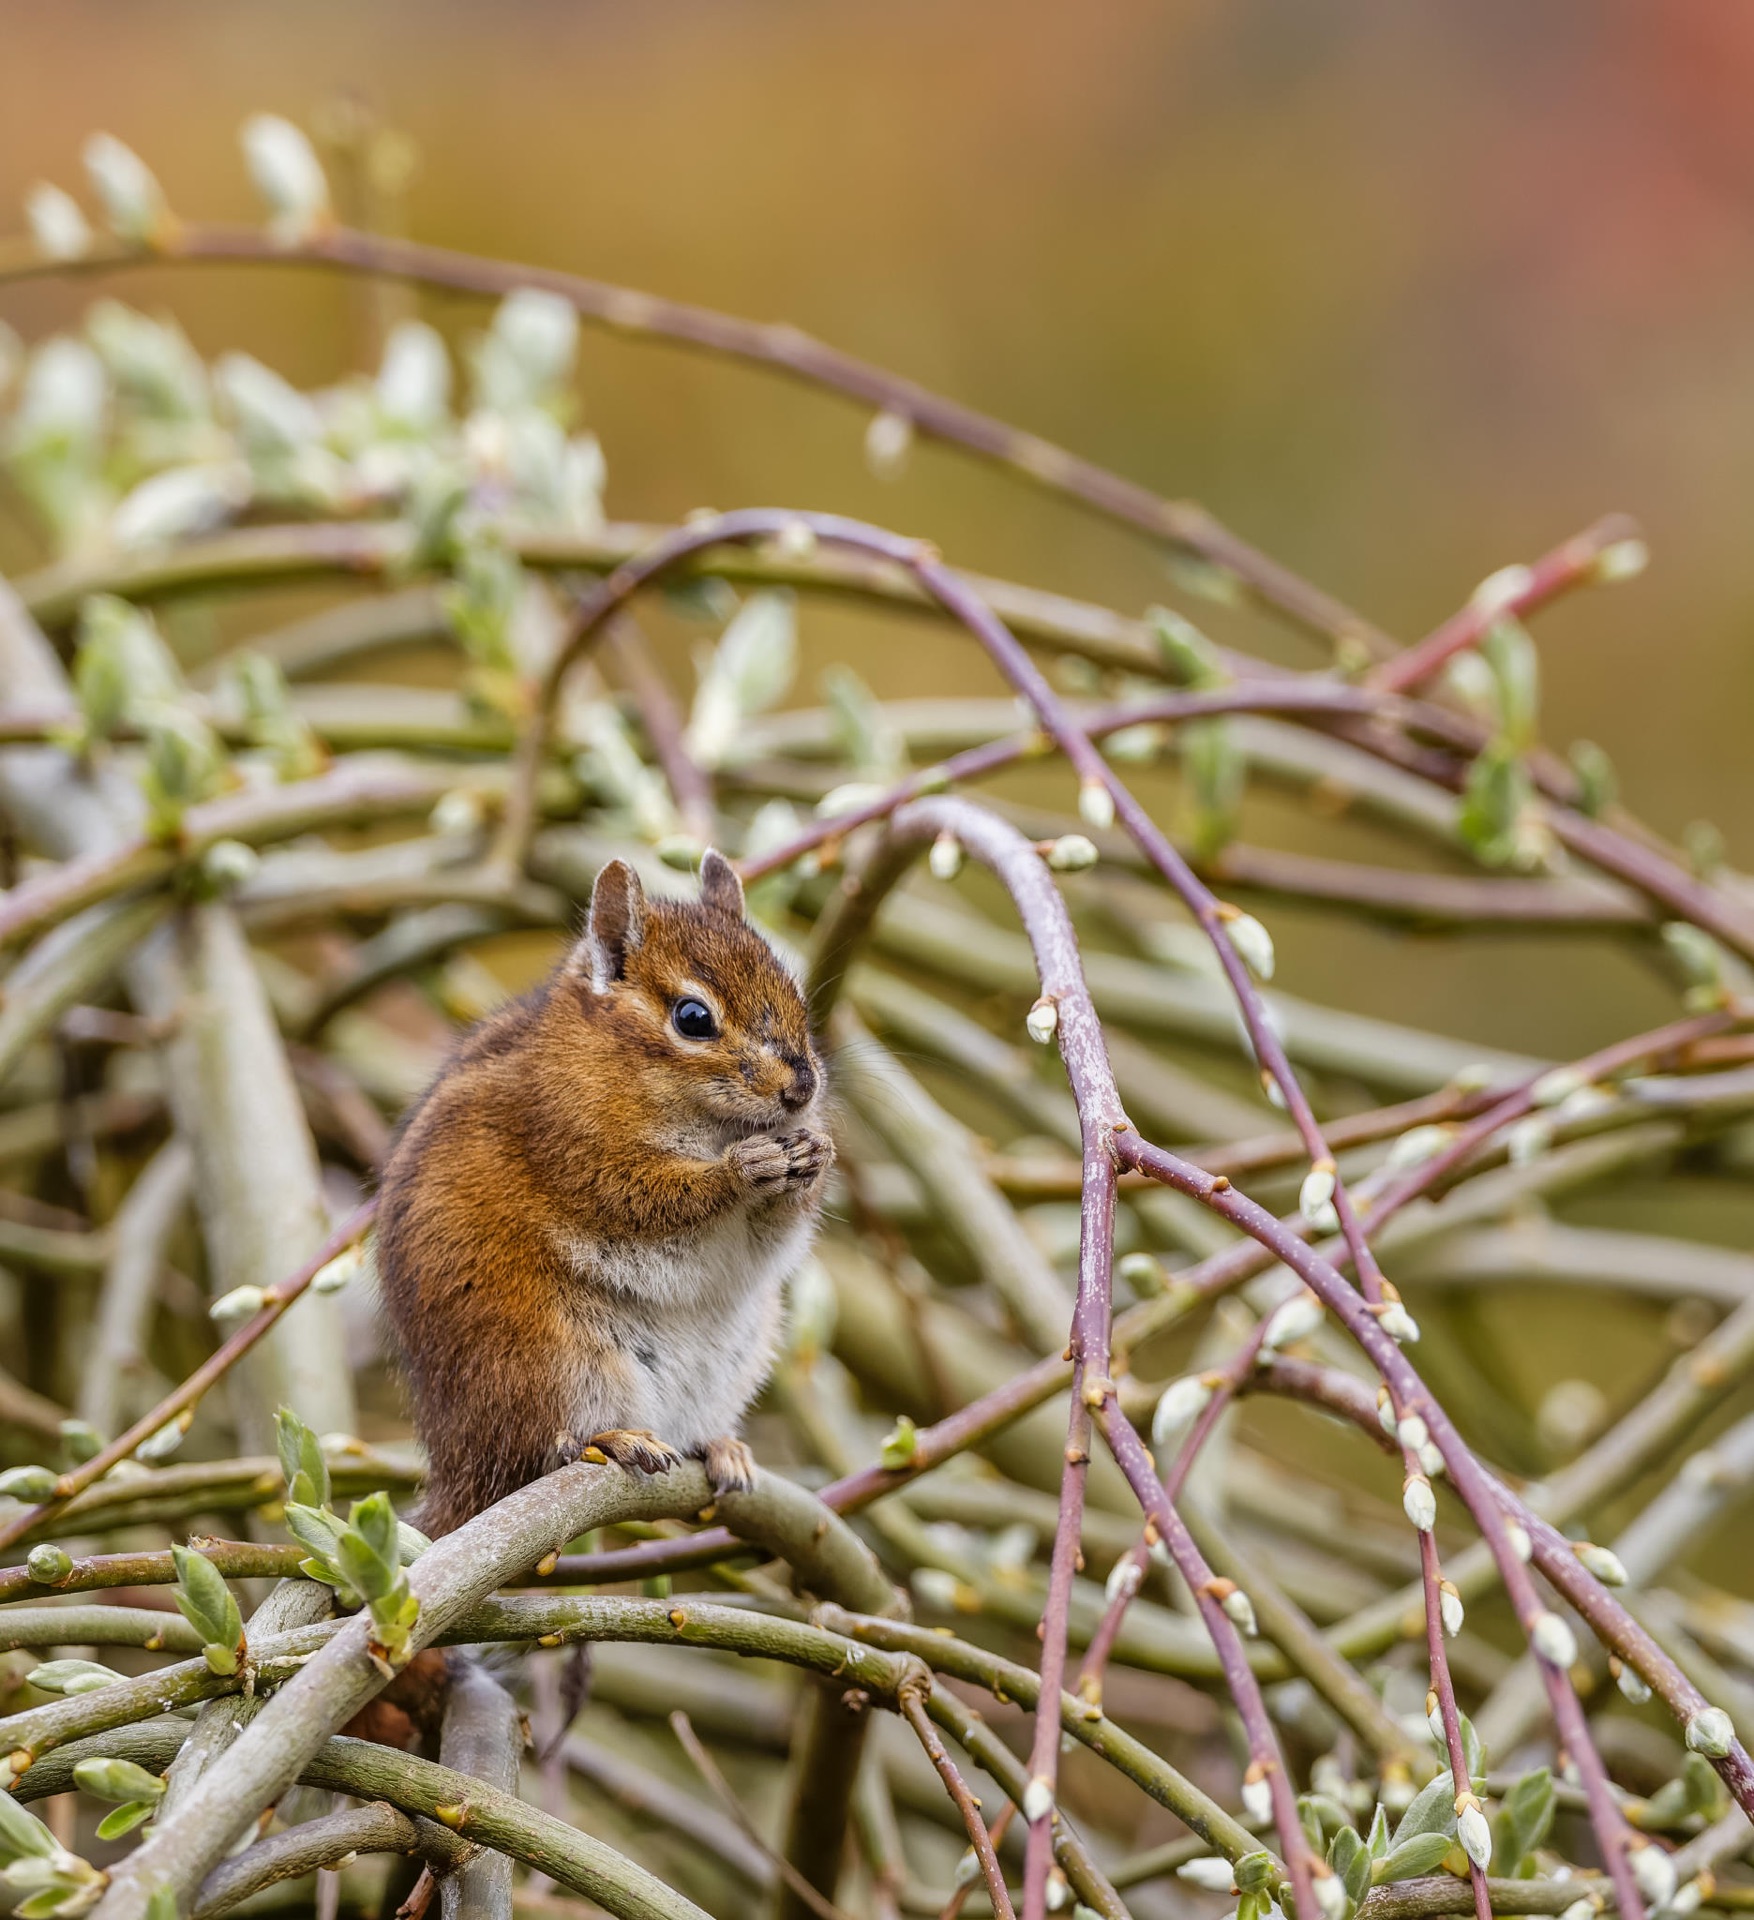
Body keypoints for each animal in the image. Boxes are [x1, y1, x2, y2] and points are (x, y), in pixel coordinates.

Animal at [374, 849, 833, 1537]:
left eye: (794, 990)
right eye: (693, 1018)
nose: (802, 1088)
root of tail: (459, 1472)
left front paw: (817, 1152)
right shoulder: (577, 1150)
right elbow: (648, 1198)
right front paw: (739, 1171)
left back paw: (720, 1446)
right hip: (544, 1357)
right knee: (544, 1449)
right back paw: (614, 1439)